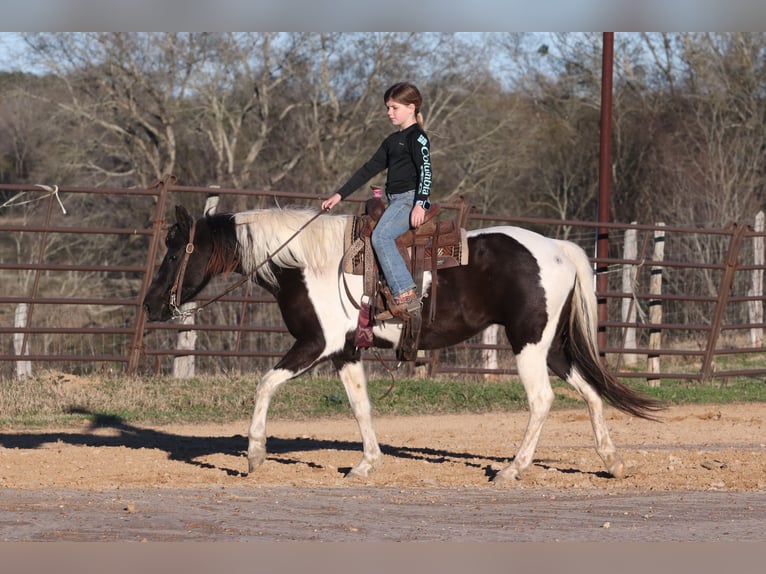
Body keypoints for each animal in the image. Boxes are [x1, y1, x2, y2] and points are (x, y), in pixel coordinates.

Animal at [144, 205, 664, 484]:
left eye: (172, 254)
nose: (150, 305)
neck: (304, 262)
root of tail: (557, 249)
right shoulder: (345, 351)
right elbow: (361, 407)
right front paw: (366, 464)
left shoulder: (315, 343)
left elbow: (265, 384)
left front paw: (254, 455)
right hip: (552, 346)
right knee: (591, 394)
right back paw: (612, 463)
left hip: (529, 345)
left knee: (541, 400)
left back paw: (511, 469)